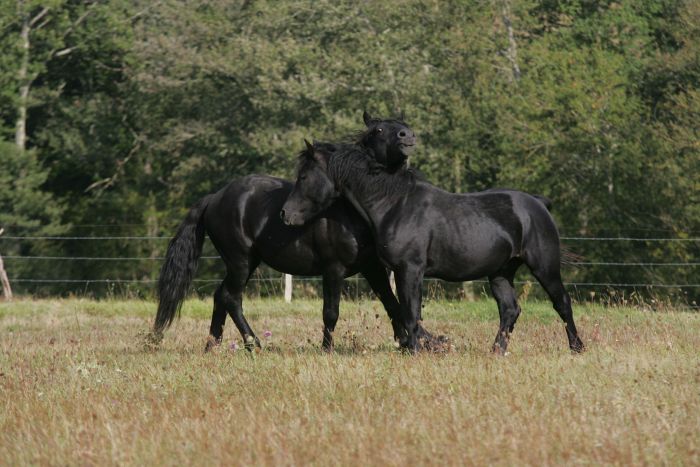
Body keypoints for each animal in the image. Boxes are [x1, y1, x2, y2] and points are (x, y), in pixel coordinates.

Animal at [154, 113, 440, 352]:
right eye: (380, 129)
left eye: (402, 123)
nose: (408, 136)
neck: (350, 212)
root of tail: (215, 198)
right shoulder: (333, 269)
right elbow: (331, 312)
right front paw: (327, 349)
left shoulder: (373, 268)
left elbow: (392, 303)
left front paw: (411, 341)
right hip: (240, 261)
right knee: (230, 297)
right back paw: (254, 344)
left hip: (247, 262)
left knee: (220, 297)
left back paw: (212, 345)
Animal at [282, 143, 584, 354]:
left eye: (304, 176)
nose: (286, 214)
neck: (394, 205)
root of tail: (537, 204)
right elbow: (406, 311)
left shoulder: (410, 270)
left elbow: (410, 311)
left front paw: (416, 349)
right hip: (500, 272)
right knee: (510, 310)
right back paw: (496, 351)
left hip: (544, 267)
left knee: (562, 302)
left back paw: (577, 347)